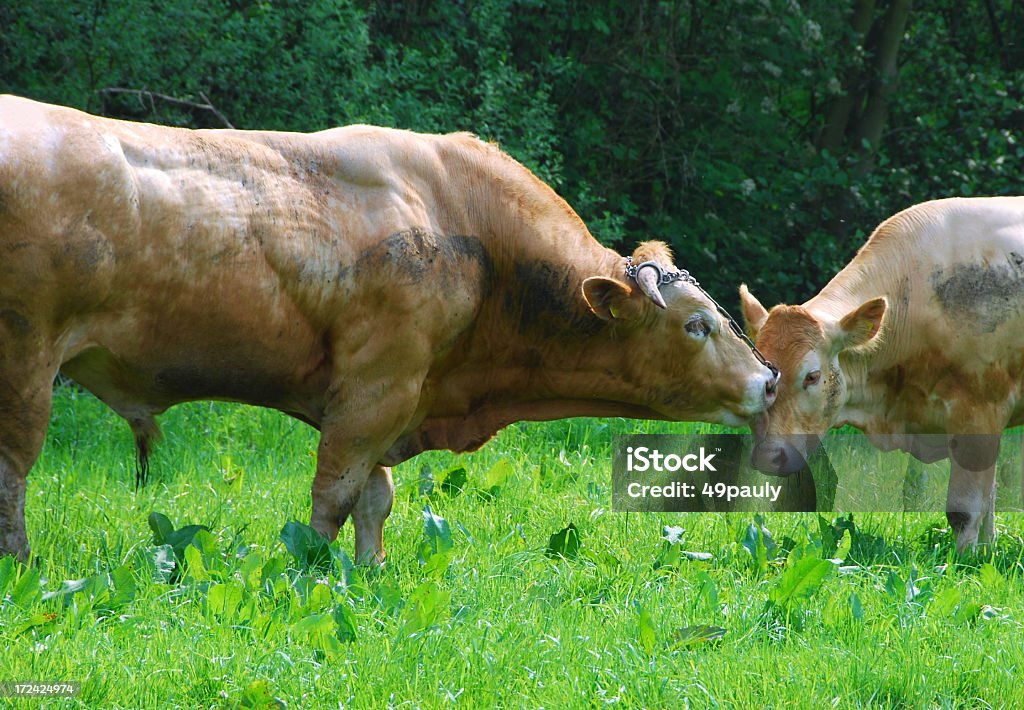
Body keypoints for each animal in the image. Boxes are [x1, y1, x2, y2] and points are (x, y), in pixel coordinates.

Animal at [0, 99, 774, 561]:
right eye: (698, 325)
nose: (768, 380)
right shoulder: (378, 386)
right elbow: (337, 493)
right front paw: (312, 569)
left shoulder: (394, 398)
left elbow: (377, 497)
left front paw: (368, 573)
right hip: (25, 359)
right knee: (13, 468)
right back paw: (21, 562)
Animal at [741, 196, 1024, 549]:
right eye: (764, 375)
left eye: (812, 376)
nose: (769, 455)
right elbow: (986, 499)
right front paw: (986, 550)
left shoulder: (979, 411)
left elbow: (967, 509)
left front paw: (965, 558)